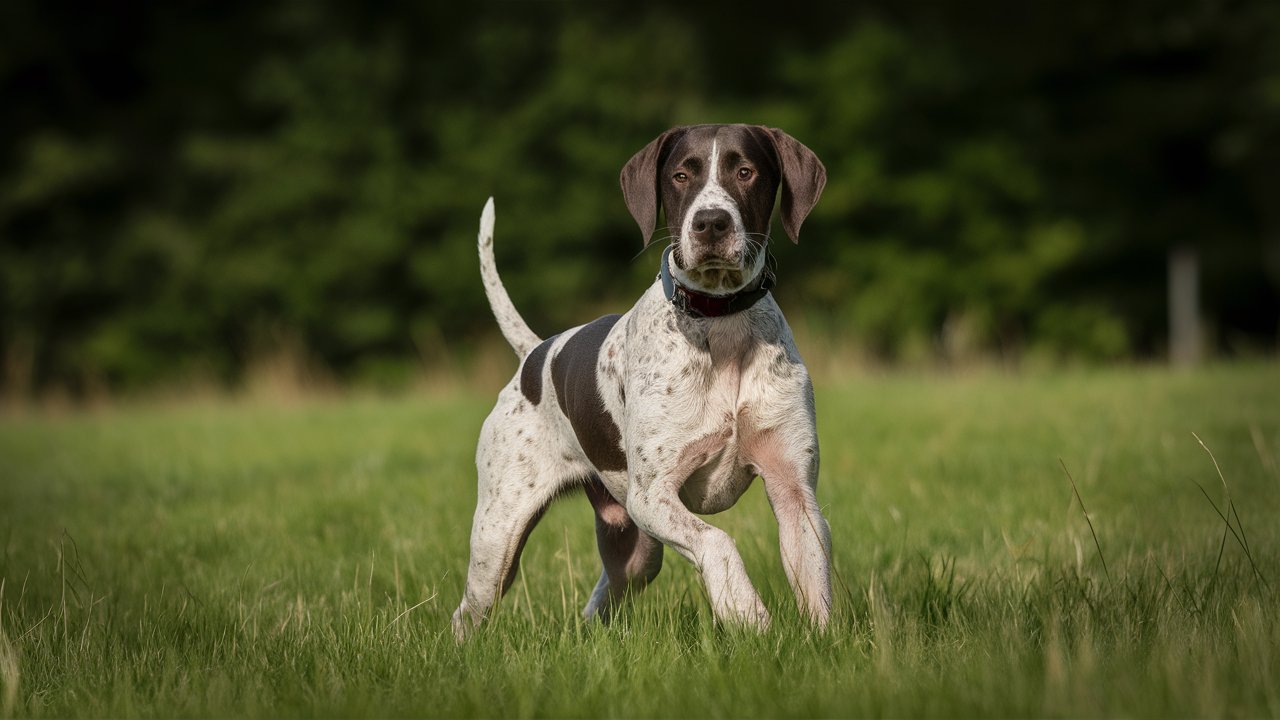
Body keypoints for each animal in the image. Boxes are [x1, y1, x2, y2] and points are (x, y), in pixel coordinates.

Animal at [455, 122, 834, 632]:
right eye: (680, 175)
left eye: (745, 172)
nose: (711, 222)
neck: (722, 324)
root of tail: (535, 353)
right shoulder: (652, 495)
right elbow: (718, 541)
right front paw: (745, 612)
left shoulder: (795, 491)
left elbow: (815, 585)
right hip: (499, 539)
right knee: (466, 612)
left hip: (635, 554)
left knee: (598, 602)